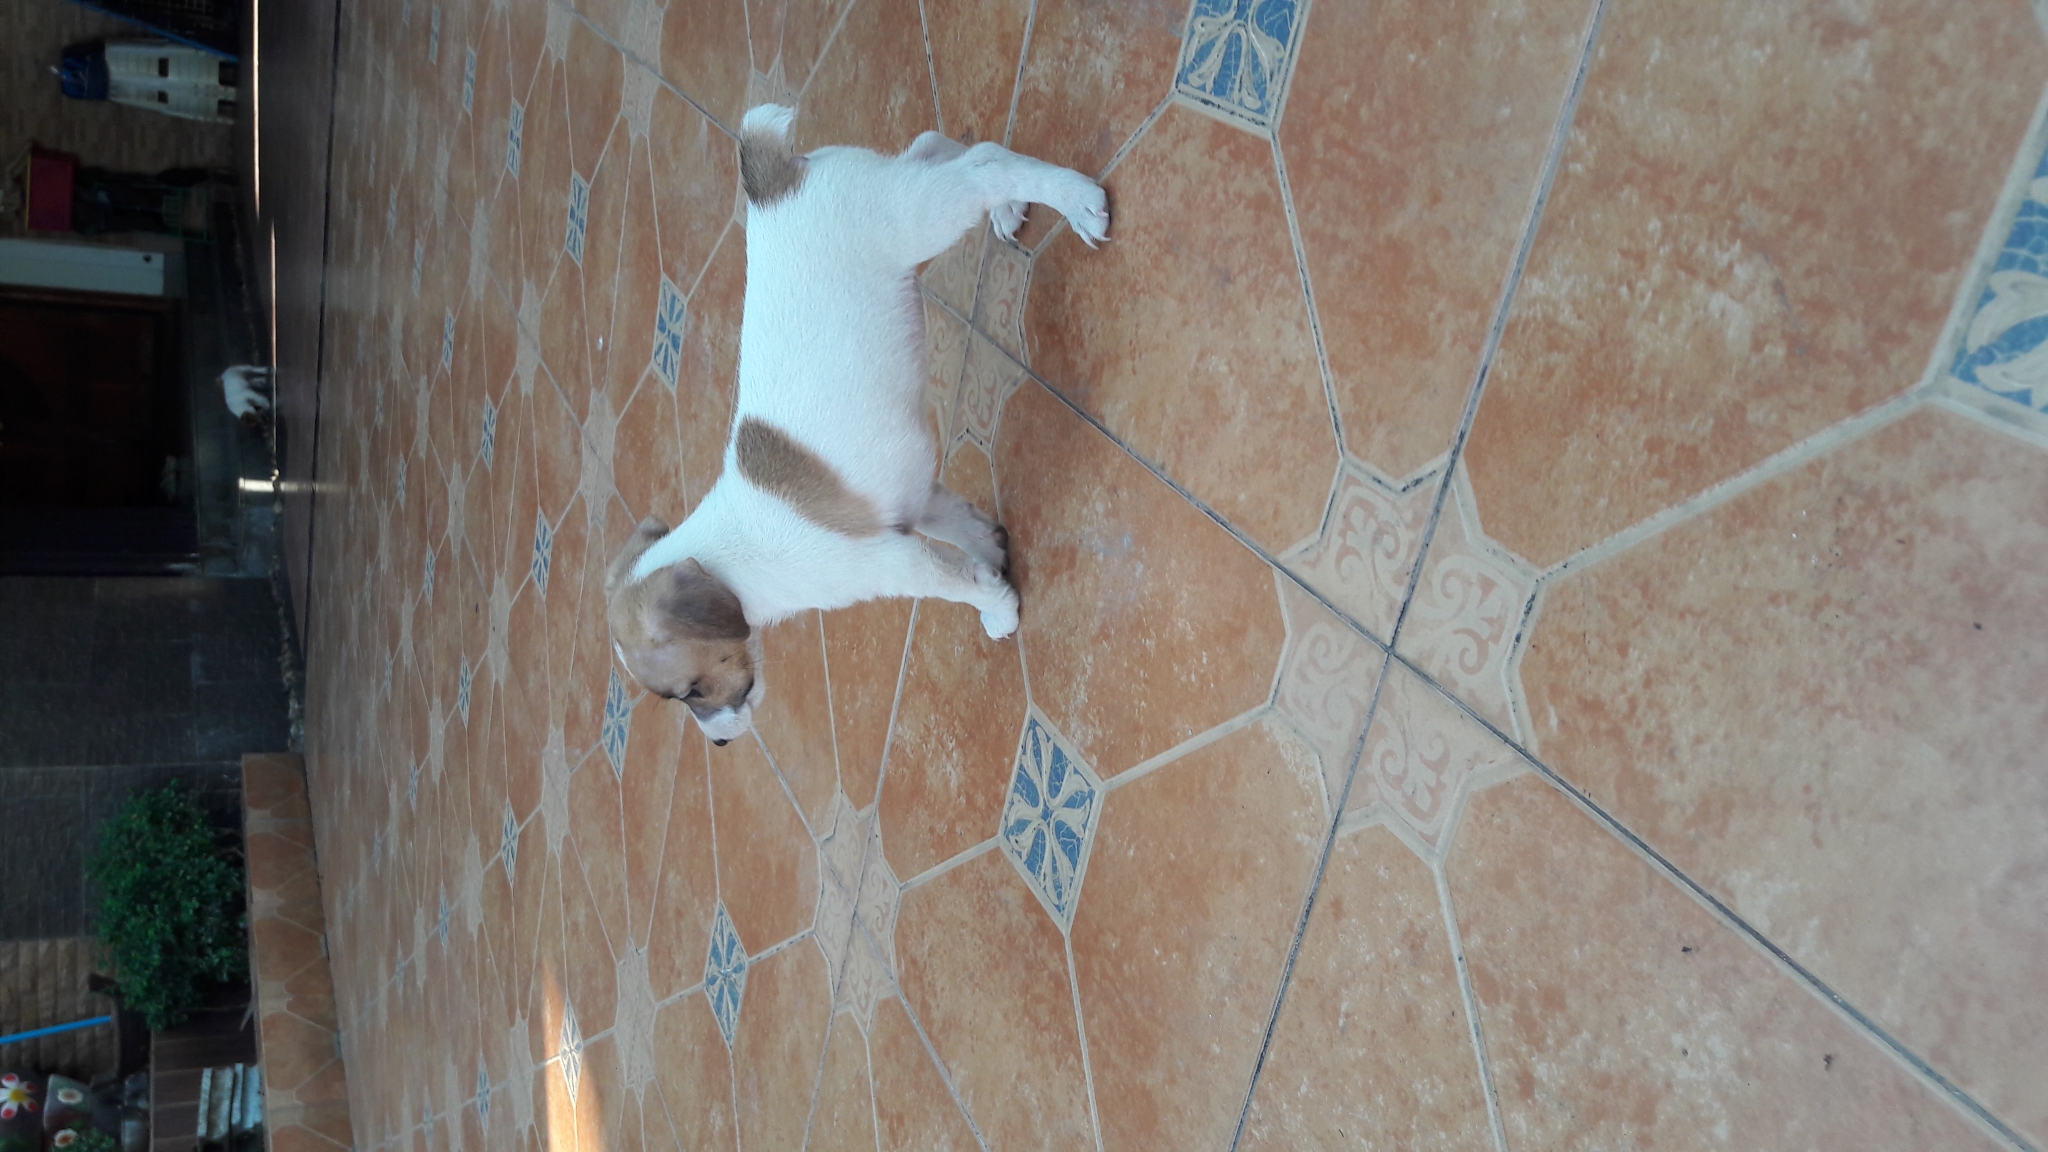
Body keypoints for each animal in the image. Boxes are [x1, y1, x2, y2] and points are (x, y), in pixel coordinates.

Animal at [604, 104, 1110, 745]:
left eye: (689, 692)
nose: (718, 740)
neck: (732, 565)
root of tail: (772, 183)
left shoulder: (897, 563)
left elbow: (958, 584)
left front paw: (998, 608)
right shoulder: (912, 502)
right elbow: (963, 532)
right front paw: (994, 558)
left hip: (918, 217)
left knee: (986, 165)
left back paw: (1074, 200)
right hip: (901, 194)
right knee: (946, 149)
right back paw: (1011, 206)